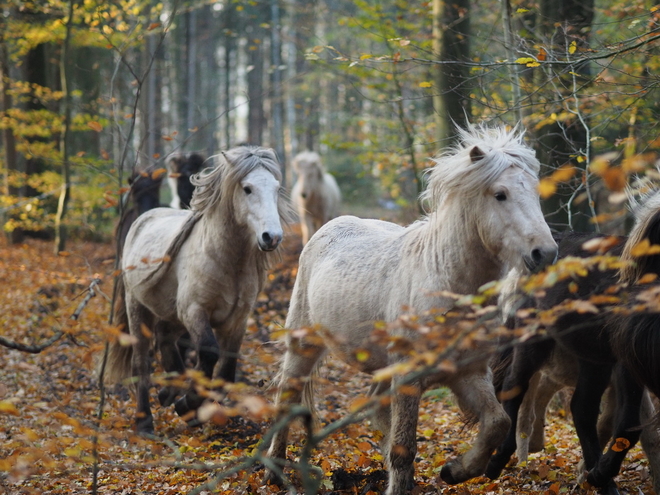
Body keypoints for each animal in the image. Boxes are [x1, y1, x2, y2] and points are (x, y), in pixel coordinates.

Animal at [107, 146, 288, 434]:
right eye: (247, 188)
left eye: (276, 188)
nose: (272, 237)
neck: (228, 262)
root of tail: (144, 218)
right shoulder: (195, 311)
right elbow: (209, 352)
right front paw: (188, 405)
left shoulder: (237, 320)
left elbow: (226, 372)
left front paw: (193, 409)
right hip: (138, 307)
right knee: (141, 360)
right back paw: (145, 421)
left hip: (172, 314)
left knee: (165, 337)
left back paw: (169, 392)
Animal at [266, 126, 560, 494]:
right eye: (500, 194)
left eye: (535, 193)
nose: (545, 253)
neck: (443, 281)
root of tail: (329, 228)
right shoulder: (408, 380)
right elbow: (404, 447)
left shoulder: (469, 374)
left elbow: (497, 422)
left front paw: (455, 471)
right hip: (303, 345)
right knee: (286, 399)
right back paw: (274, 472)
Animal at [488, 197, 660, 495]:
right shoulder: (628, 363)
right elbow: (629, 425)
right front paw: (599, 473)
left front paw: (597, 475)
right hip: (534, 339)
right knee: (513, 387)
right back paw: (497, 461)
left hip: (595, 359)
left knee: (581, 410)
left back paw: (601, 481)